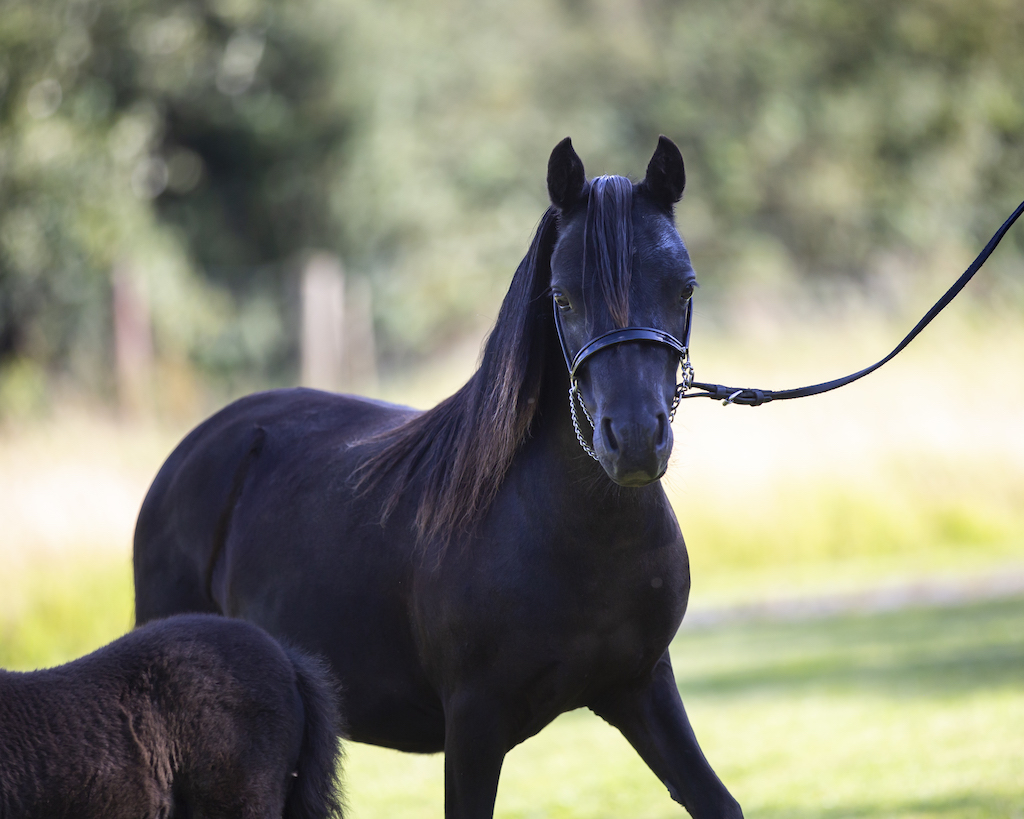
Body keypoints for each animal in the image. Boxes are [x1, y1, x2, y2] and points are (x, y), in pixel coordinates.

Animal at [133, 136, 743, 819]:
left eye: (685, 290)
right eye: (562, 298)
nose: (634, 439)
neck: (575, 537)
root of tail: (192, 453)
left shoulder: (639, 686)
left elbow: (718, 803)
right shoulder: (475, 725)